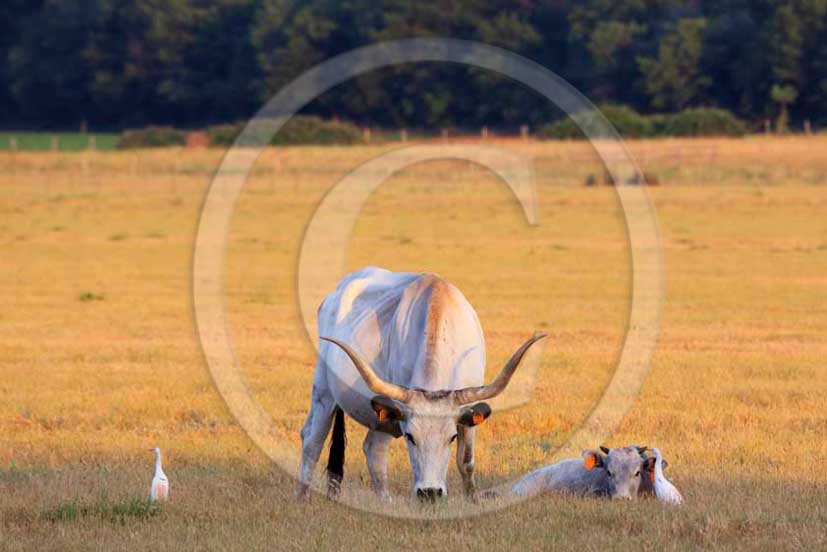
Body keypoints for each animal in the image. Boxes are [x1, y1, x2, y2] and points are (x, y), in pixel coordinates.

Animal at [294, 266, 548, 502]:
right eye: (410, 437)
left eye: (451, 437)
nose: (430, 493)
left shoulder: (468, 413)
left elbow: (466, 461)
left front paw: (472, 500)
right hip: (324, 390)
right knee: (314, 439)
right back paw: (303, 498)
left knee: (372, 449)